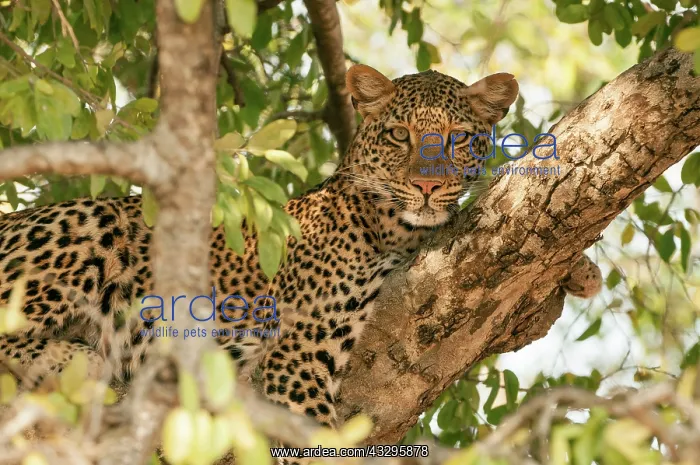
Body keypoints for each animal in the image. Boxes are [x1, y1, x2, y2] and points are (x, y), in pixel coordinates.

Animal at [0, 64, 602, 462]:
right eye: (399, 135)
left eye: (456, 140)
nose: (428, 187)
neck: (393, 228)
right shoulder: (297, 352)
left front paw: (582, 269)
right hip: (91, 223)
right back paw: (76, 359)